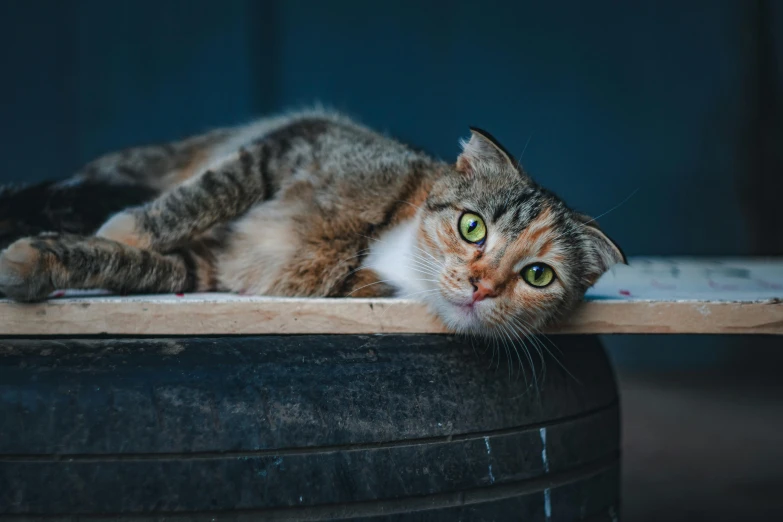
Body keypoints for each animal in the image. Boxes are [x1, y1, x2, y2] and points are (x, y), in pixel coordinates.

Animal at [0, 109, 624, 334]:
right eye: (473, 227)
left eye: (538, 275)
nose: (481, 286)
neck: (382, 243)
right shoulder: (293, 144)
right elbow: (203, 195)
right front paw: (121, 228)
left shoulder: (210, 267)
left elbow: (131, 264)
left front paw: (36, 261)